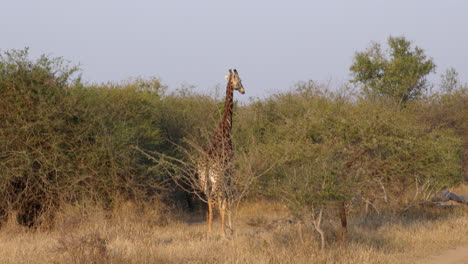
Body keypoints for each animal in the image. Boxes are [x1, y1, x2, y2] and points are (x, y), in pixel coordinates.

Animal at [198, 69, 245, 236]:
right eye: (239, 80)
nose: (243, 90)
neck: (225, 129)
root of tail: (206, 163)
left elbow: (222, 200)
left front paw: (226, 229)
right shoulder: (229, 171)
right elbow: (227, 198)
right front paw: (229, 229)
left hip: (204, 180)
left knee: (208, 199)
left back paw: (209, 231)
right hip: (217, 178)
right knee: (215, 198)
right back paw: (217, 232)